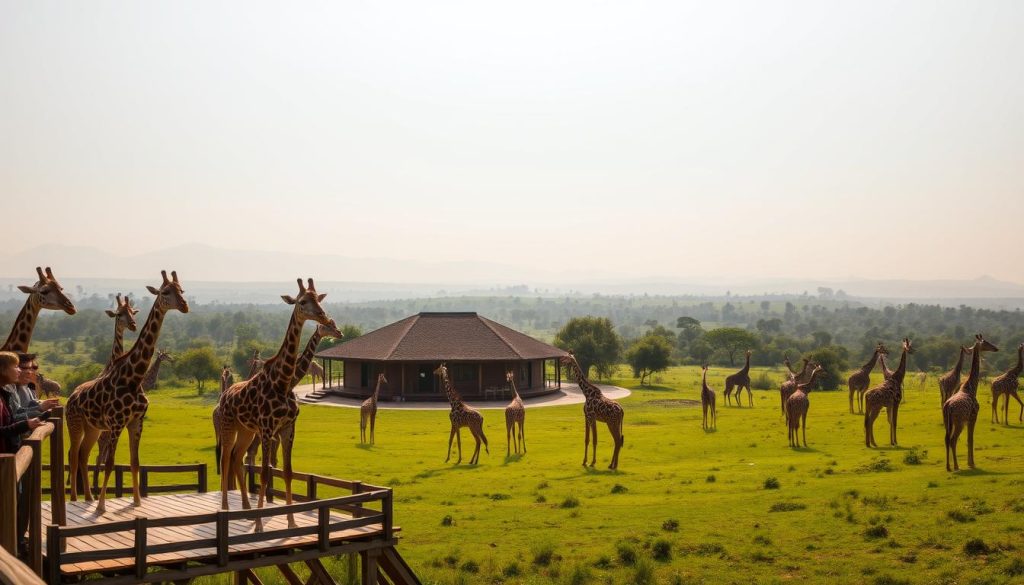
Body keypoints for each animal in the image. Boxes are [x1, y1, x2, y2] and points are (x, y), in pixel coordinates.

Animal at [65, 270, 189, 513]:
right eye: (165, 292)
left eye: (181, 290)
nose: (185, 305)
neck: (134, 377)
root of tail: (71, 397)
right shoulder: (116, 423)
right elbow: (110, 463)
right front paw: (102, 506)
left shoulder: (136, 421)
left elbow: (135, 461)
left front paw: (137, 501)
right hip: (75, 424)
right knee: (74, 456)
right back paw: (77, 499)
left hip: (92, 428)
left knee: (83, 455)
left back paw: (88, 497)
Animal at [216, 278, 332, 530]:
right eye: (302, 301)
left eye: (318, 298)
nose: (324, 316)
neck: (283, 382)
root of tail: (224, 396)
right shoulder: (268, 429)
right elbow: (264, 473)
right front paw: (260, 525)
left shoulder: (288, 428)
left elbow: (287, 472)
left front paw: (292, 522)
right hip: (229, 427)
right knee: (226, 457)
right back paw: (226, 508)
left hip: (246, 430)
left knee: (237, 457)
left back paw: (246, 509)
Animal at [944, 334, 999, 471]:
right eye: (985, 342)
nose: (996, 348)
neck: (972, 387)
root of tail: (948, 407)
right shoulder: (973, 417)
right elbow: (971, 439)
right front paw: (972, 463)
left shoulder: (969, 419)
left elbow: (969, 439)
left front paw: (970, 462)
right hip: (959, 422)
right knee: (953, 440)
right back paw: (956, 466)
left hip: (947, 422)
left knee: (946, 439)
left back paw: (948, 467)